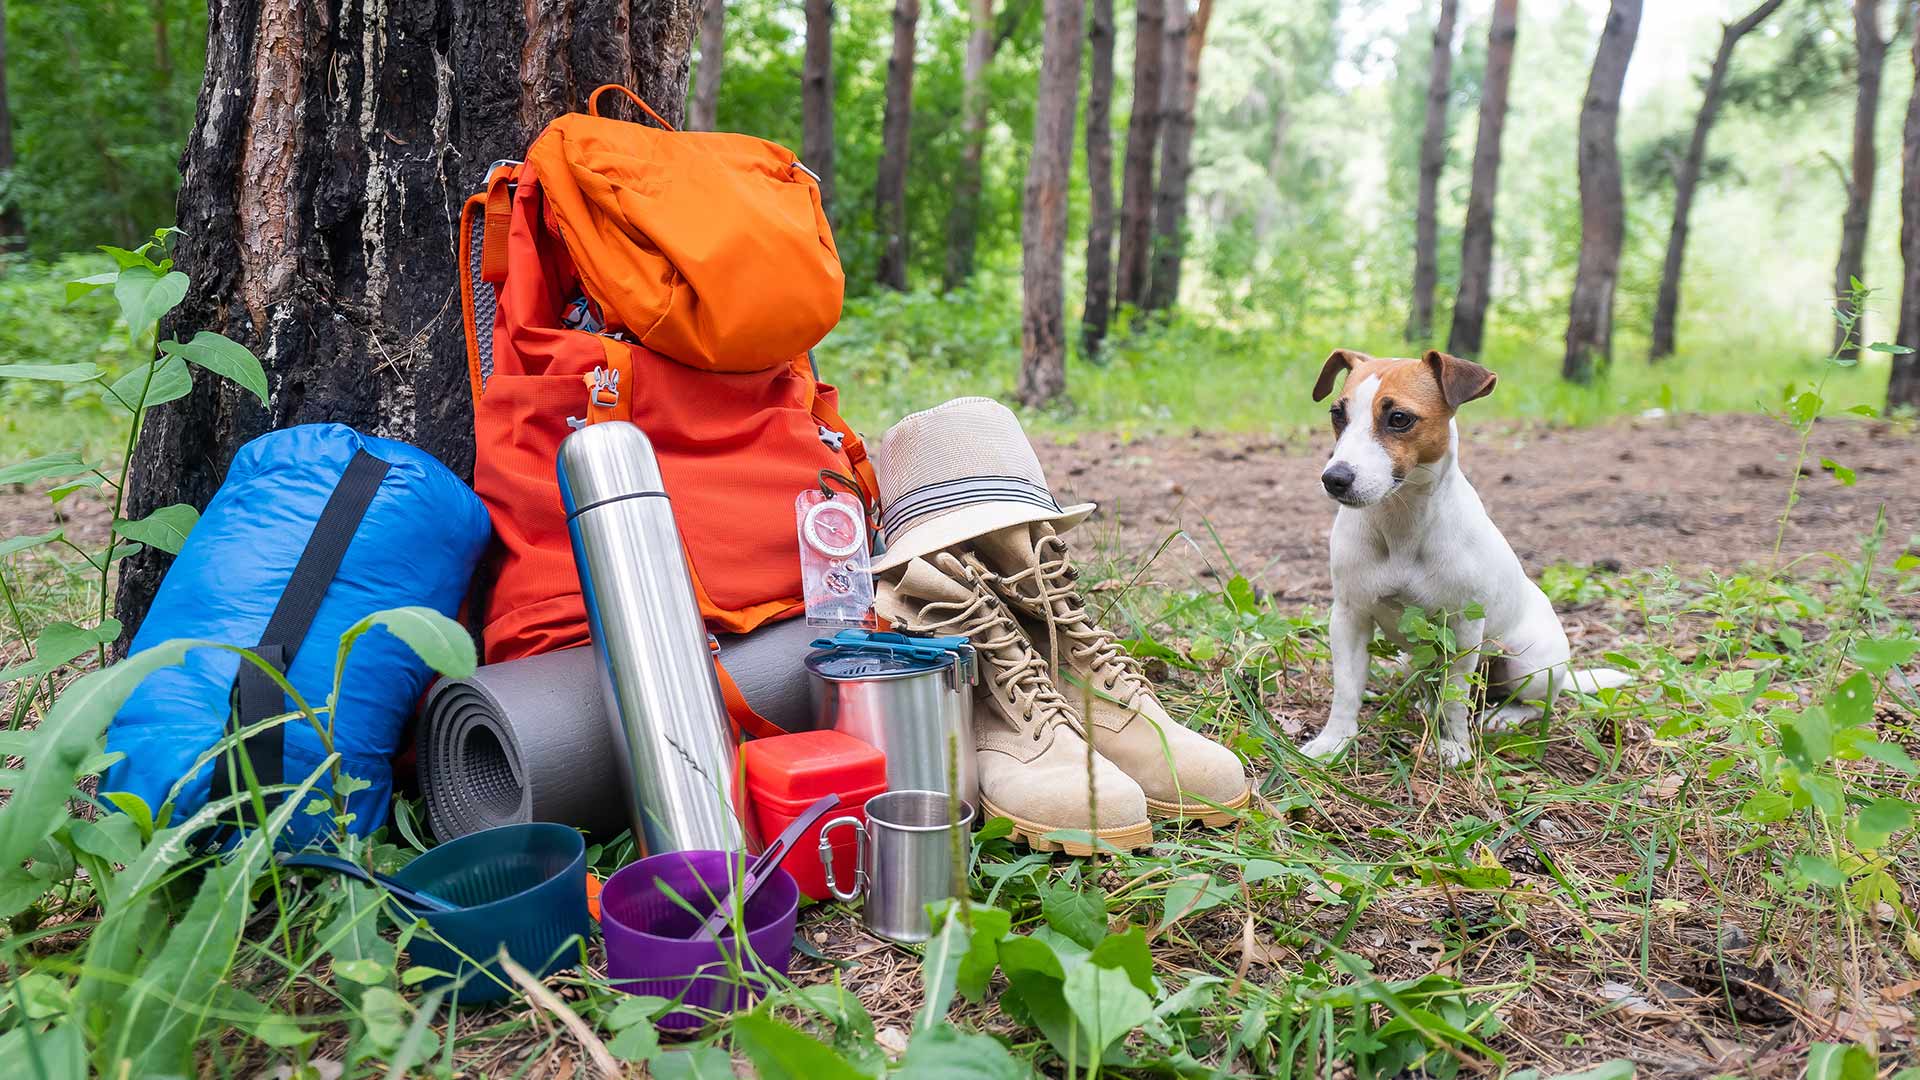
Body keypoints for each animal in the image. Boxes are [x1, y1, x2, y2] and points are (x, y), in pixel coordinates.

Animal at [1297, 349, 1628, 760]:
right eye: (1337, 414)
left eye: (1399, 418)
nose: (1334, 479)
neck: (1401, 525)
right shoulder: (1349, 618)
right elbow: (1346, 689)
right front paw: (1334, 741)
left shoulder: (1464, 628)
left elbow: (1456, 697)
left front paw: (1455, 745)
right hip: (1412, 659)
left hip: (1528, 663)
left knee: (1528, 703)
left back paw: (1503, 716)